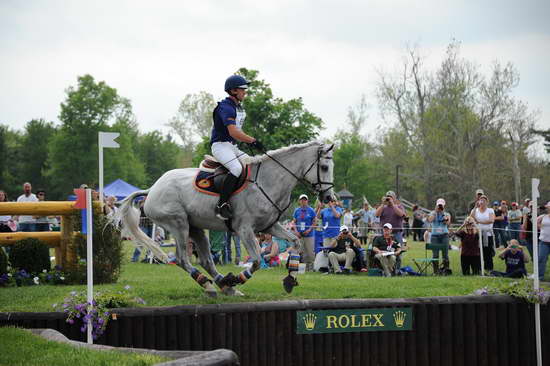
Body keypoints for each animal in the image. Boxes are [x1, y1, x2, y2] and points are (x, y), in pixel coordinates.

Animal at [111, 141, 334, 298]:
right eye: (324, 167)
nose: (328, 198)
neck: (268, 181)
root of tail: (152, 190)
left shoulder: (270, 226)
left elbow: (296, 243)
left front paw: (290, 279)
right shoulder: (244, 229)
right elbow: (256, 261)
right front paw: (237, 278)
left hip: (196, 228)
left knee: (206, 260)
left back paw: (222, 284)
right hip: (179, 225)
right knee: (183, 259)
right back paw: (211, 284)